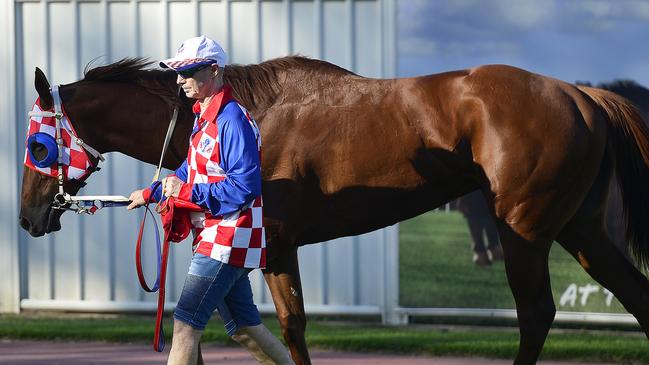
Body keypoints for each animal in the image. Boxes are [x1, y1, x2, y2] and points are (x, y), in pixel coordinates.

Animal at [17, 58, 648, 362]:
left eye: (37, 146)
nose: (26, 216)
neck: (245, 110)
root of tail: (582, 95)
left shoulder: (277, 243)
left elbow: (292, 328)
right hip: (582, 229)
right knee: (636, 297)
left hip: (523, 225)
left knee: (536, 314)